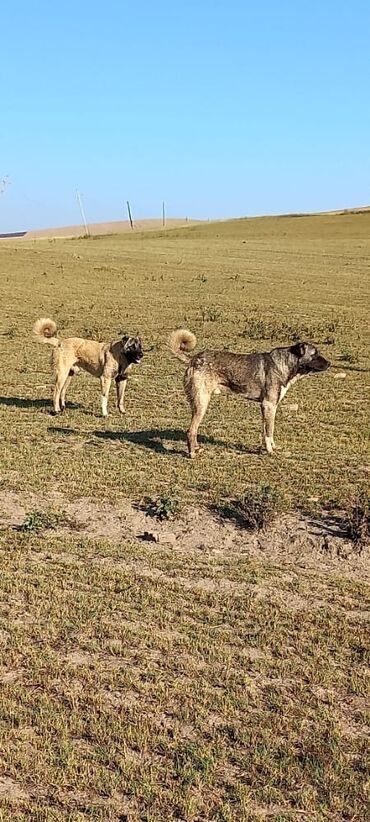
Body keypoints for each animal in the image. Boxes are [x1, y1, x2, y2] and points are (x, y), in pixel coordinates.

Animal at [168, 330, 330, 460]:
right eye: (315, 354)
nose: (330, 364)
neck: (286, 364)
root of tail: (193, 359)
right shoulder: (269, 405)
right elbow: (269, 431)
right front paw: (270, 451)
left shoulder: (265, 407)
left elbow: (265, 432)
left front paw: (269, 447)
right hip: (202, 403)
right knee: (191, 431)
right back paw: (192, 454)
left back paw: (197, 449)